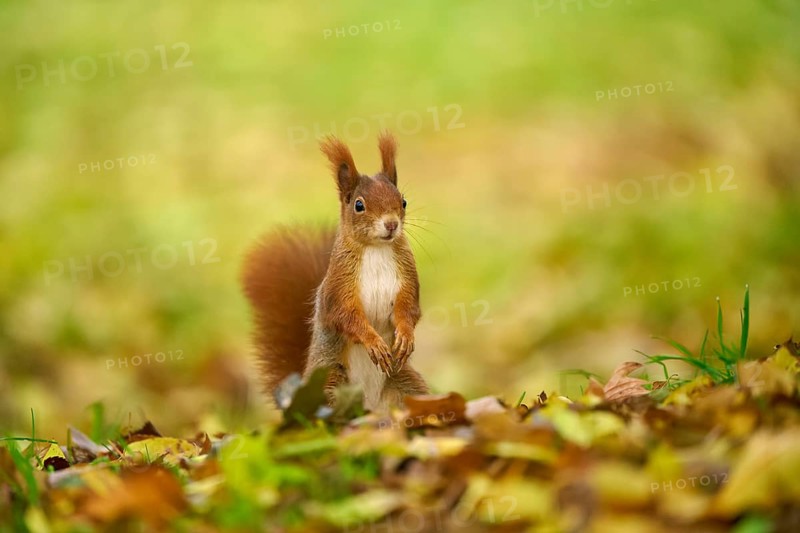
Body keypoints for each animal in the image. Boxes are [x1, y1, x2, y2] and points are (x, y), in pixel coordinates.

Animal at [241, 132, 429, 411]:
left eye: (403, 201)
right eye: (359, 205)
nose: (391, 224)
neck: (377, 249)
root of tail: (371, 408)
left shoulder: (407, 278)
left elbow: (409, 309)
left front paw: (405, 336)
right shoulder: (339, 284)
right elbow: (344, 315)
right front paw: (374, 342)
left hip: (406, 384)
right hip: (330, 382)